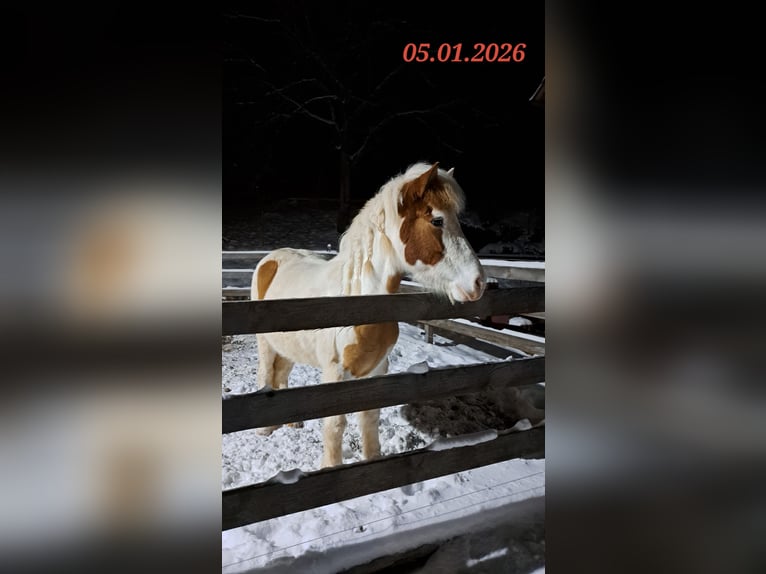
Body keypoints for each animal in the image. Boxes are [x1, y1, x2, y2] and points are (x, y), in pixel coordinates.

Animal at [252, 162, 486, 467]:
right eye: (437, 220)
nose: (478, 283)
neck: (359, 303)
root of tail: (271, 259)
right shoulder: (335, 373)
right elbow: (335, 425)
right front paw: (331, 467)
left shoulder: (377, 370)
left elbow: (369, 418)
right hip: (265, 343)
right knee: (266, 374)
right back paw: (265, 429)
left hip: (289, 346)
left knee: (282, 372)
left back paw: (292, 423)